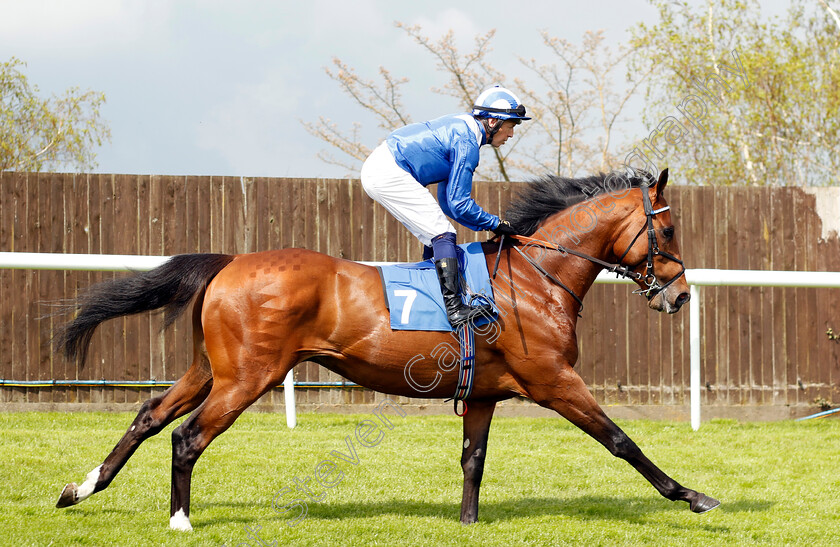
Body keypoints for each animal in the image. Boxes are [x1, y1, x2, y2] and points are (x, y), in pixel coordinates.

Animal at [55, 170, 720, 532]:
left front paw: (468, 523)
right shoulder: (555, 381)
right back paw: (180, 517)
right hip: (247, 377)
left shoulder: (485, 394)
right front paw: (692, 496)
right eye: (668, 229)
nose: (681, 295)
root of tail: (231, 261)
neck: (536, 278)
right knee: (186, 436)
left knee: (148, 416)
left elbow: (473, 460)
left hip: (209, 369)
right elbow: (621, 441)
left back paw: (80, 488)